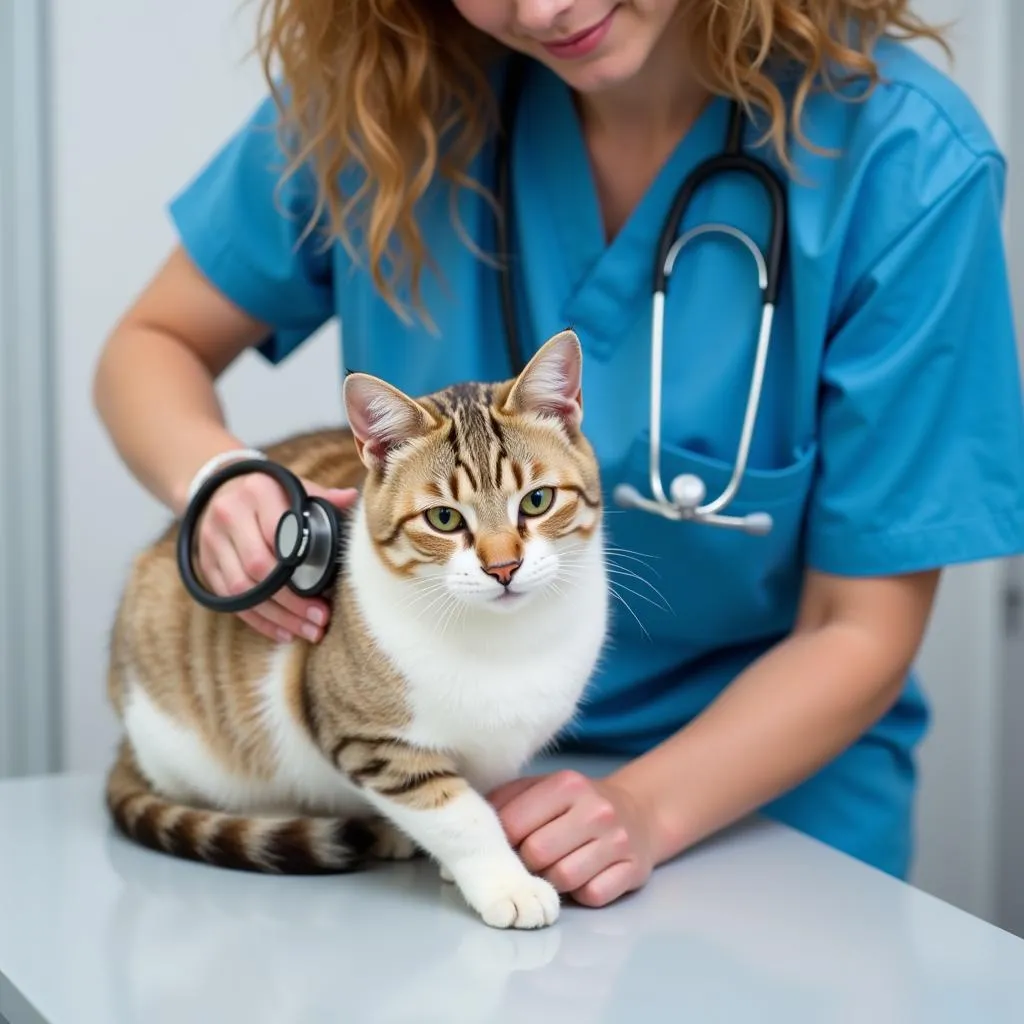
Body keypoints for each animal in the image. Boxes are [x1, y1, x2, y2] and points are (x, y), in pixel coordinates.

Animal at [105, 327, 606, 929]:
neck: (504, 639)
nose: (503, 567)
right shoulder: (372, 740)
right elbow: (459, 814)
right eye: (444, 518)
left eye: (537, 501)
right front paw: (504, 880)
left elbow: (478, 793)